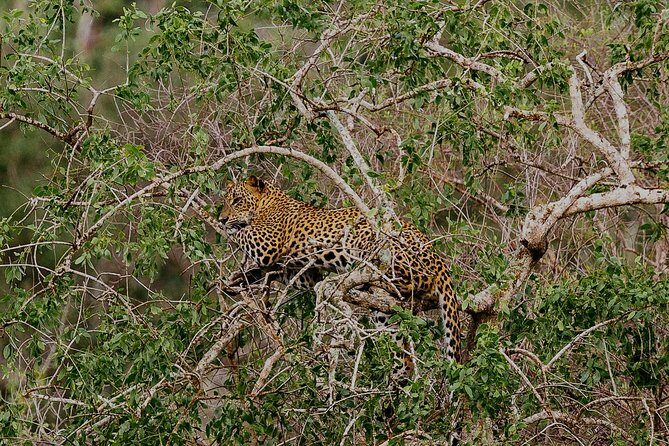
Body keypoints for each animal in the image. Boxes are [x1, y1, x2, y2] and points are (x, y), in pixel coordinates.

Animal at [220, 176, 461, 363]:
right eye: (226, 201)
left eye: (237, 201)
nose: (221, 218)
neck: (267, 202)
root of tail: (438, 259)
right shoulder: (304, 273)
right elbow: (269, 270)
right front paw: (236, 280)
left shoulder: (267, 243)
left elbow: (244, 233)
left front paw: (230, 229)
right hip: (383, 312)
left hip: (371, 242)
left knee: (408, 281)